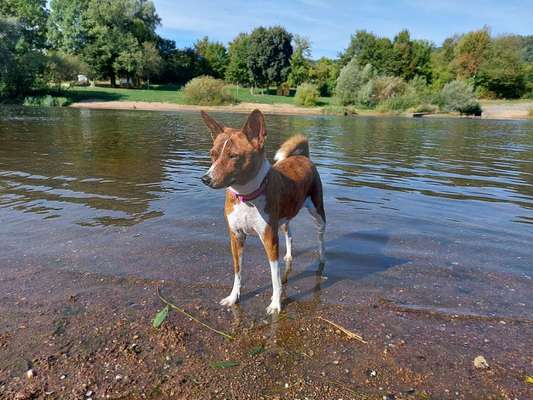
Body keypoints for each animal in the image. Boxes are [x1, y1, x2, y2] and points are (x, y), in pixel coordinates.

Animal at [200, 110, 324, 316]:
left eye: (233, 156)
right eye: (213, 154)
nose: (205, 179)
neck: (246, 198)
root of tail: (304, 157)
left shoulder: (269, 238)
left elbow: (275, 276)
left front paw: (275, 304)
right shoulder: (236, 236)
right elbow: (237, 271)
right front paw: (233, 297)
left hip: (317, 211)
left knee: (321, 236)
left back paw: (322, 259)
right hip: (284, 218)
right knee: (290, 234)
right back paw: (289, 255)